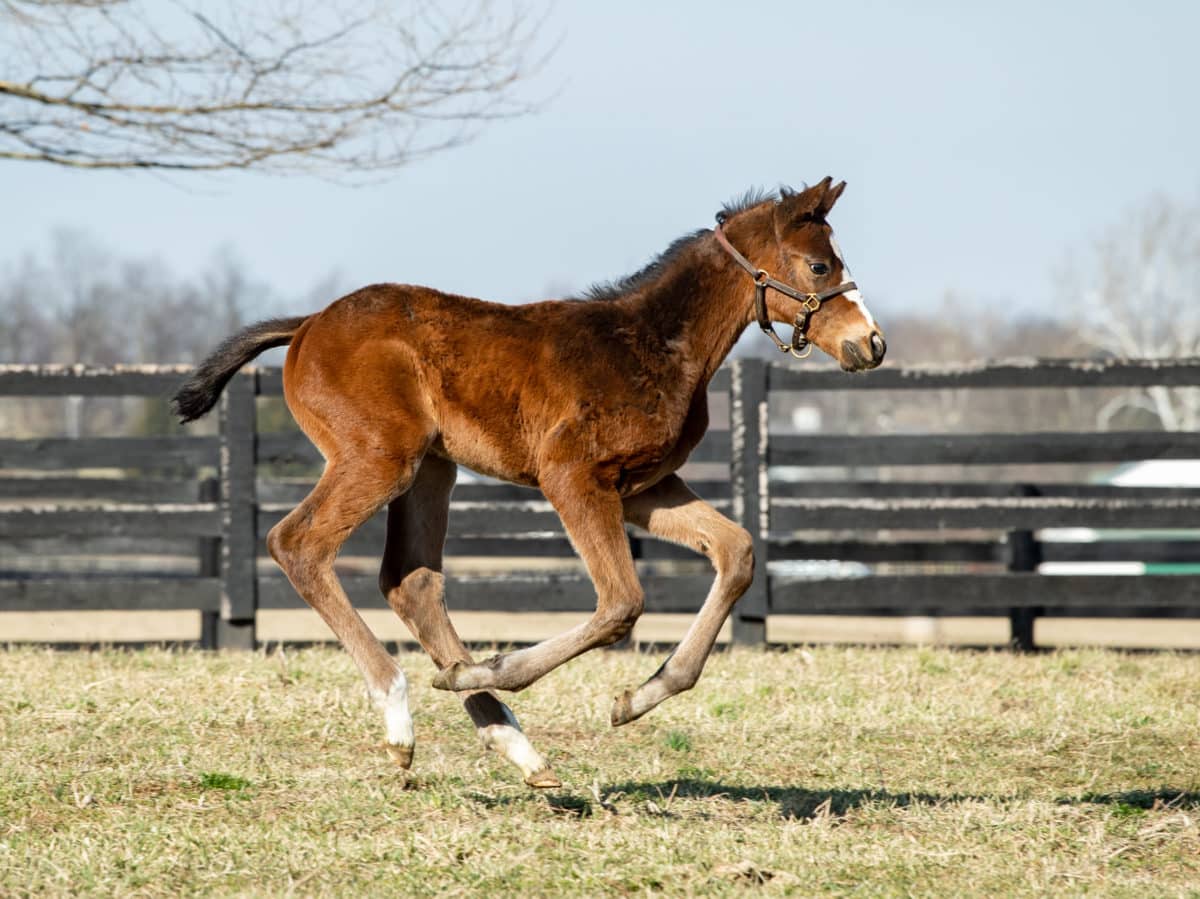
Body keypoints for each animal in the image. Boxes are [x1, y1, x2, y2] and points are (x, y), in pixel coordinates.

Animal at [174, 177, 883, 787]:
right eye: (819, 267)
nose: (871, 344)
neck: (652, 344)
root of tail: (306, 327)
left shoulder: (643, 487)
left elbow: (736, 551)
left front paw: (641, 696)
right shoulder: (570, 475)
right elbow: (621, 603)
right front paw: (498, 669)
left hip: (433, 468)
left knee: (410, 583)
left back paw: (509, 738)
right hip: (379, 458)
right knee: (299, 545)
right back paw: (405, 714)